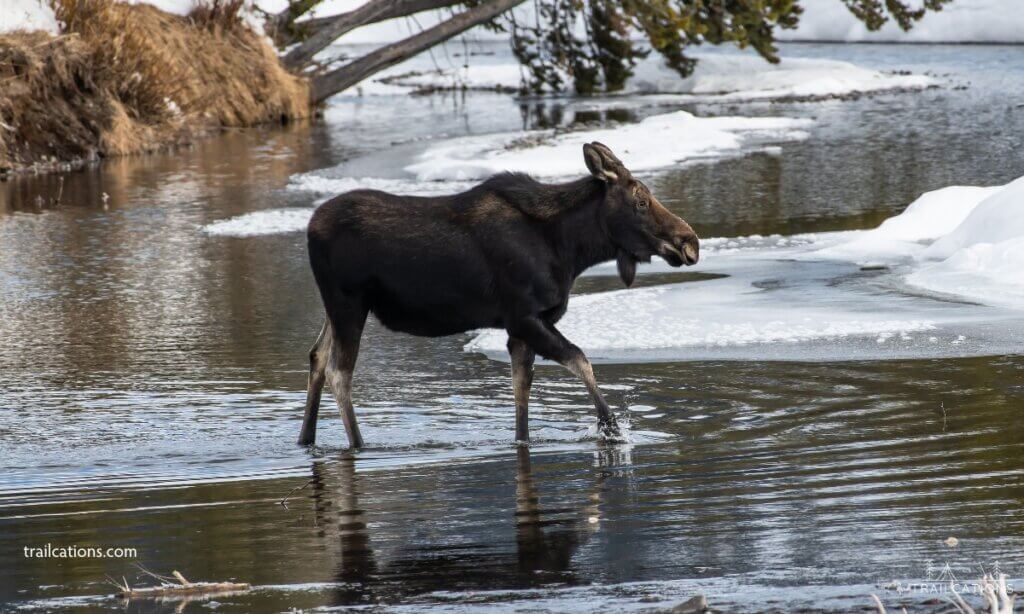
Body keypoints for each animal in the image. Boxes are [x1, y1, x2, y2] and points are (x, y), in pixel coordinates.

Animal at [296, 144, 696, 450]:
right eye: (641, 201)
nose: (689, 241)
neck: (569, 249)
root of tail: (310, 228)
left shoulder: (522, 327)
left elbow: (522, 390)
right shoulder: (523, 316)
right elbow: (581, 360)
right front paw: (610, 427)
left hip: (339, 307)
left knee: (317, 356)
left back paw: (306, 439)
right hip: (349, 302)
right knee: (339, 372)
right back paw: (359, 444)